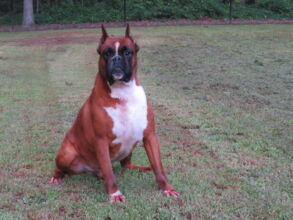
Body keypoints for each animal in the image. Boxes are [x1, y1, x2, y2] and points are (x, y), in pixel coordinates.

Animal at [49, 24, 179, 202]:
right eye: (107, 53)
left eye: (127, 52)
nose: (116, 59)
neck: (123, 93)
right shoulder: (101, 141)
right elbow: (109, 171)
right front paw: (114, 193)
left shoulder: (150, 136)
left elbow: (158, 166)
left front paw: (166, 188)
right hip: (66, 154)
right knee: (61, 168)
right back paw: (56, 177)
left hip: (130, 147)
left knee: (126, 165)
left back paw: (142, 168)